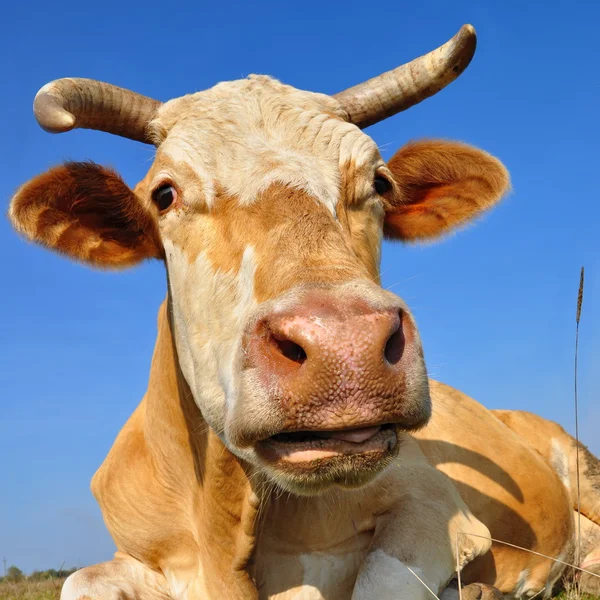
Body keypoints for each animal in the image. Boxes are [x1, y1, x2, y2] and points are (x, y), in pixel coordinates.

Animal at [8, 24, 596, 600]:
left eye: (380, 182)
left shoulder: (435, 507)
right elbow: (78, 582)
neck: (220, 535)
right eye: (165, 194)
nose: (345, 347)